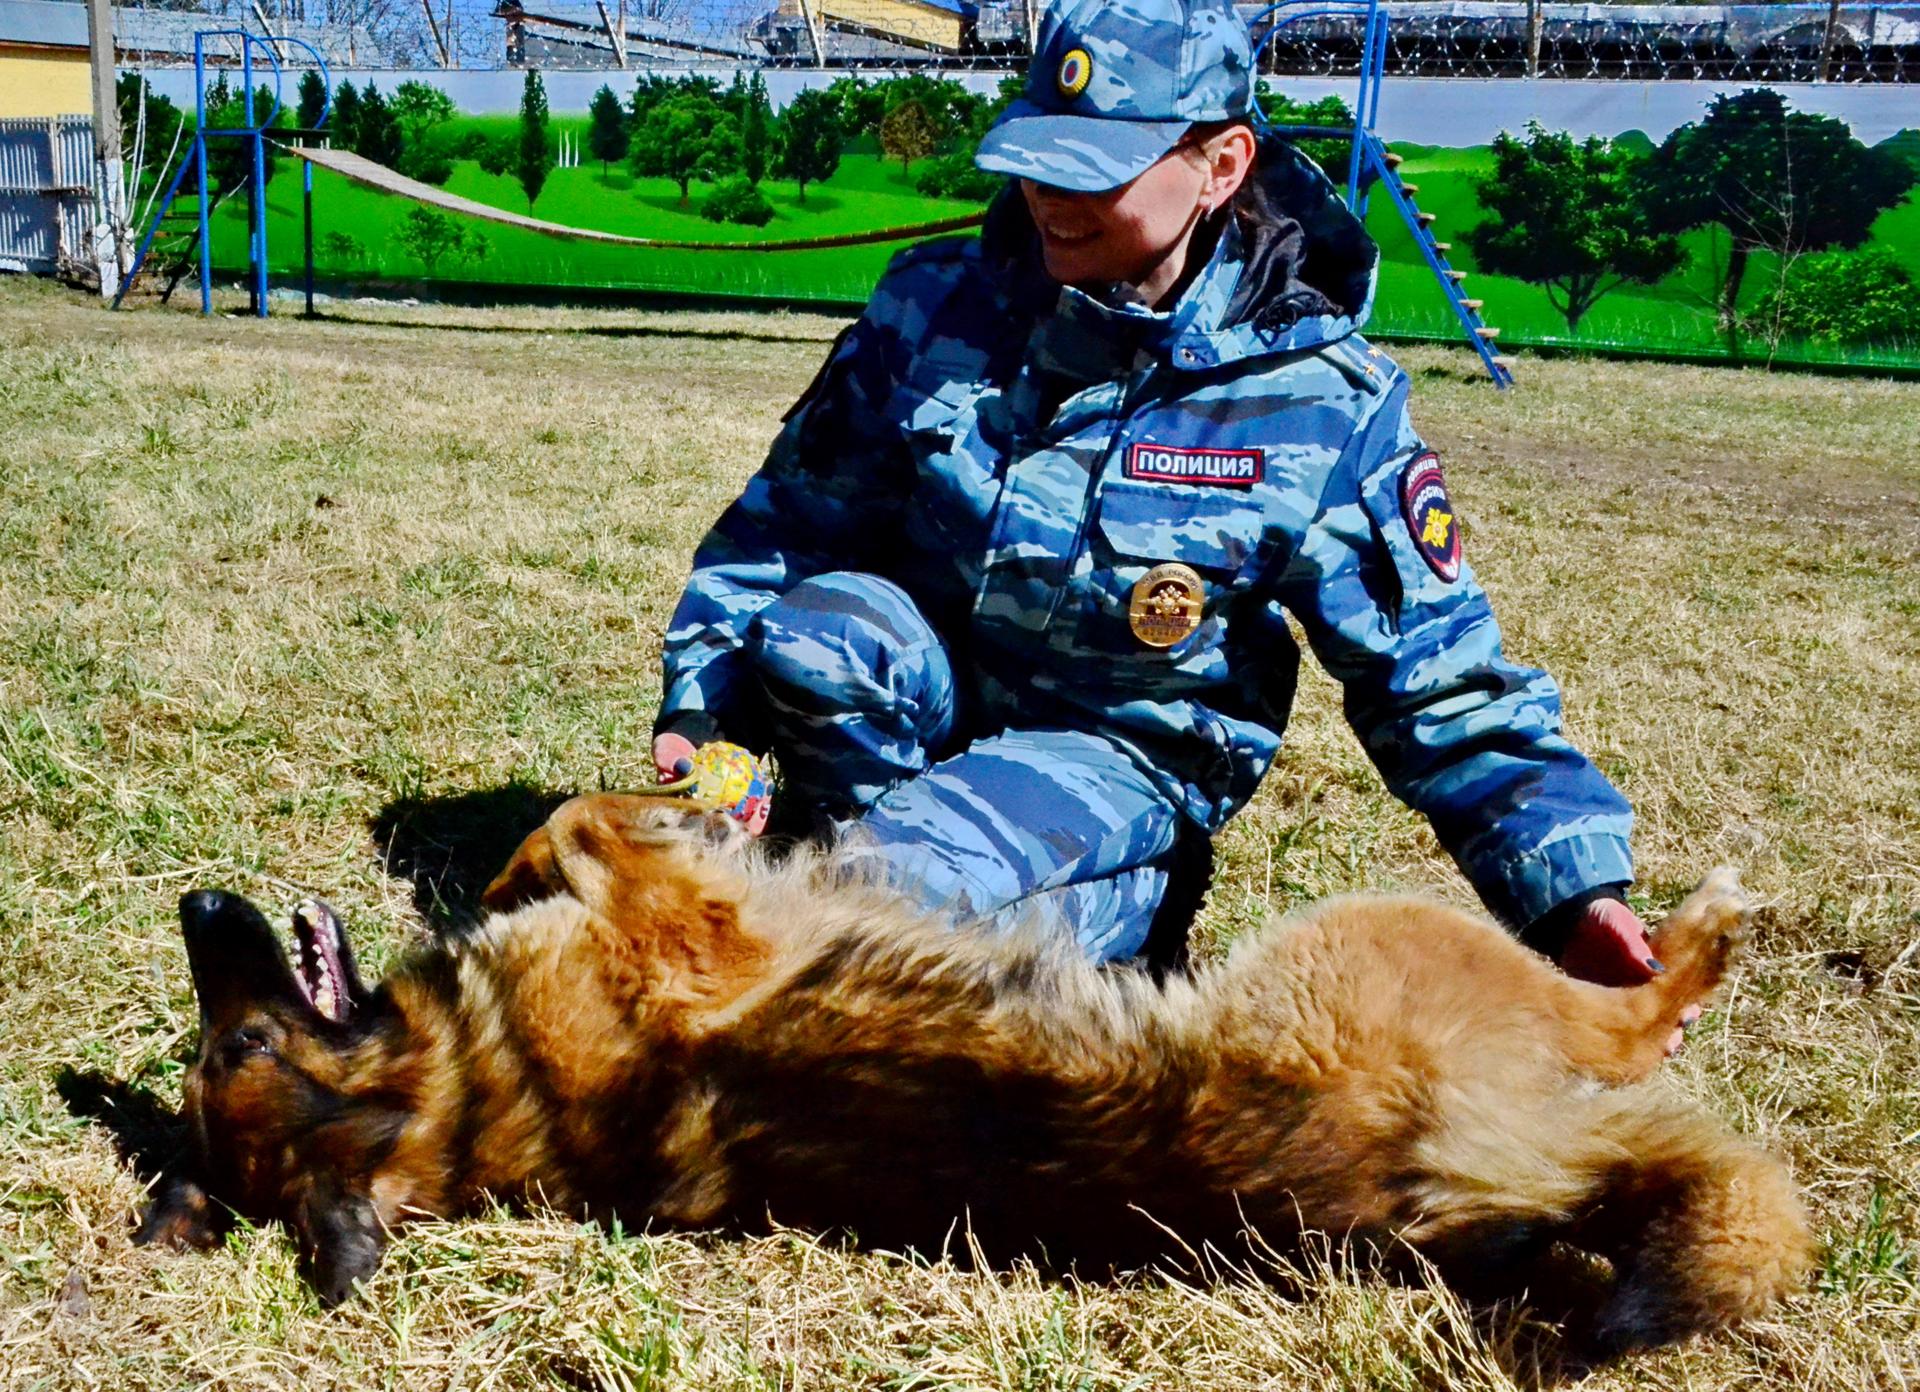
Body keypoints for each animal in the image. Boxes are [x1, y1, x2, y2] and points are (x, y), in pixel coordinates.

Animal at [142, 798, 1804, 1351]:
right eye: (233, 1045)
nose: (195, 907)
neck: (490, 1095)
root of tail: (1420, 1198)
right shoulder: (689, 928)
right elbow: (596, 824)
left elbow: (557, 833)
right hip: (1390, 942)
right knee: (1633, 1023)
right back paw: (1695, 938)